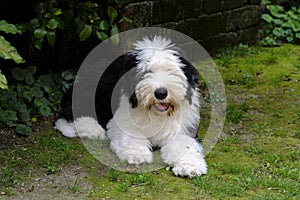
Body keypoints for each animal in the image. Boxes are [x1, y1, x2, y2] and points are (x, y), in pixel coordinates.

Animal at [54, 36, 206, 177]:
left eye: (170, 70)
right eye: (146, 72)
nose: (161, 93)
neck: (155, 113)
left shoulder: (183, 129)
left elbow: (184, 144)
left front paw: (189, 166)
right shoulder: (121, 120)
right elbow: (130, 135)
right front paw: (137, 154)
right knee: (72, 112)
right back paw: (92, 129)